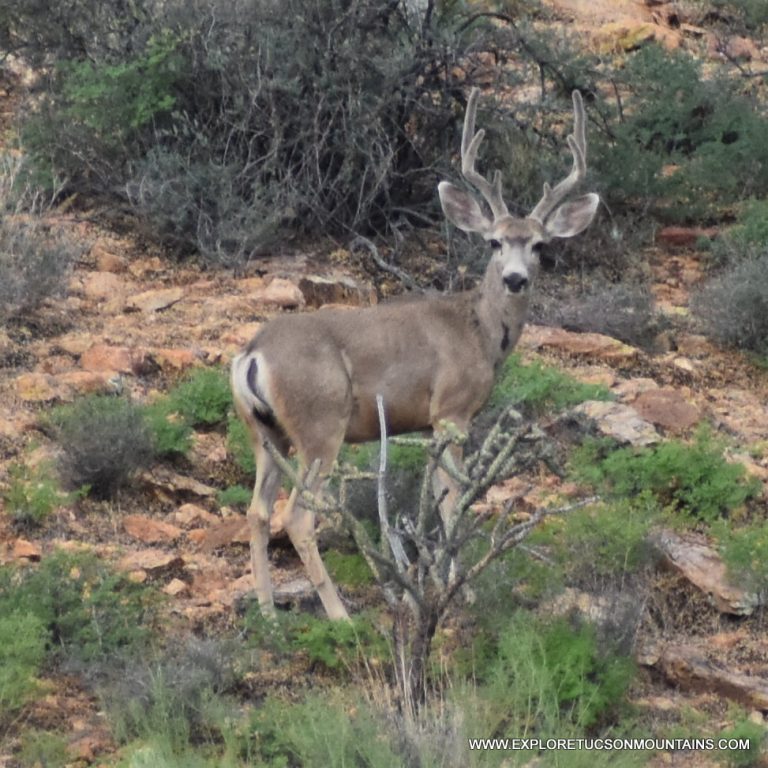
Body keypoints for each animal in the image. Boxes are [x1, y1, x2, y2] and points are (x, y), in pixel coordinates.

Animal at [228, 87, 600, 620]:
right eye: (493, 242)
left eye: (540, 245)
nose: (515, 278)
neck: (478, 331)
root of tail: (252, 355)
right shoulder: (452, 411)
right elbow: (453, 498)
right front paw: (460, 589)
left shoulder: (427, 424)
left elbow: (435, 497)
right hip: (320, 423)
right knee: (296, 516)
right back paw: (341, 617)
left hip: (266, 432)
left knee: (257, 511)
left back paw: (268, 614)